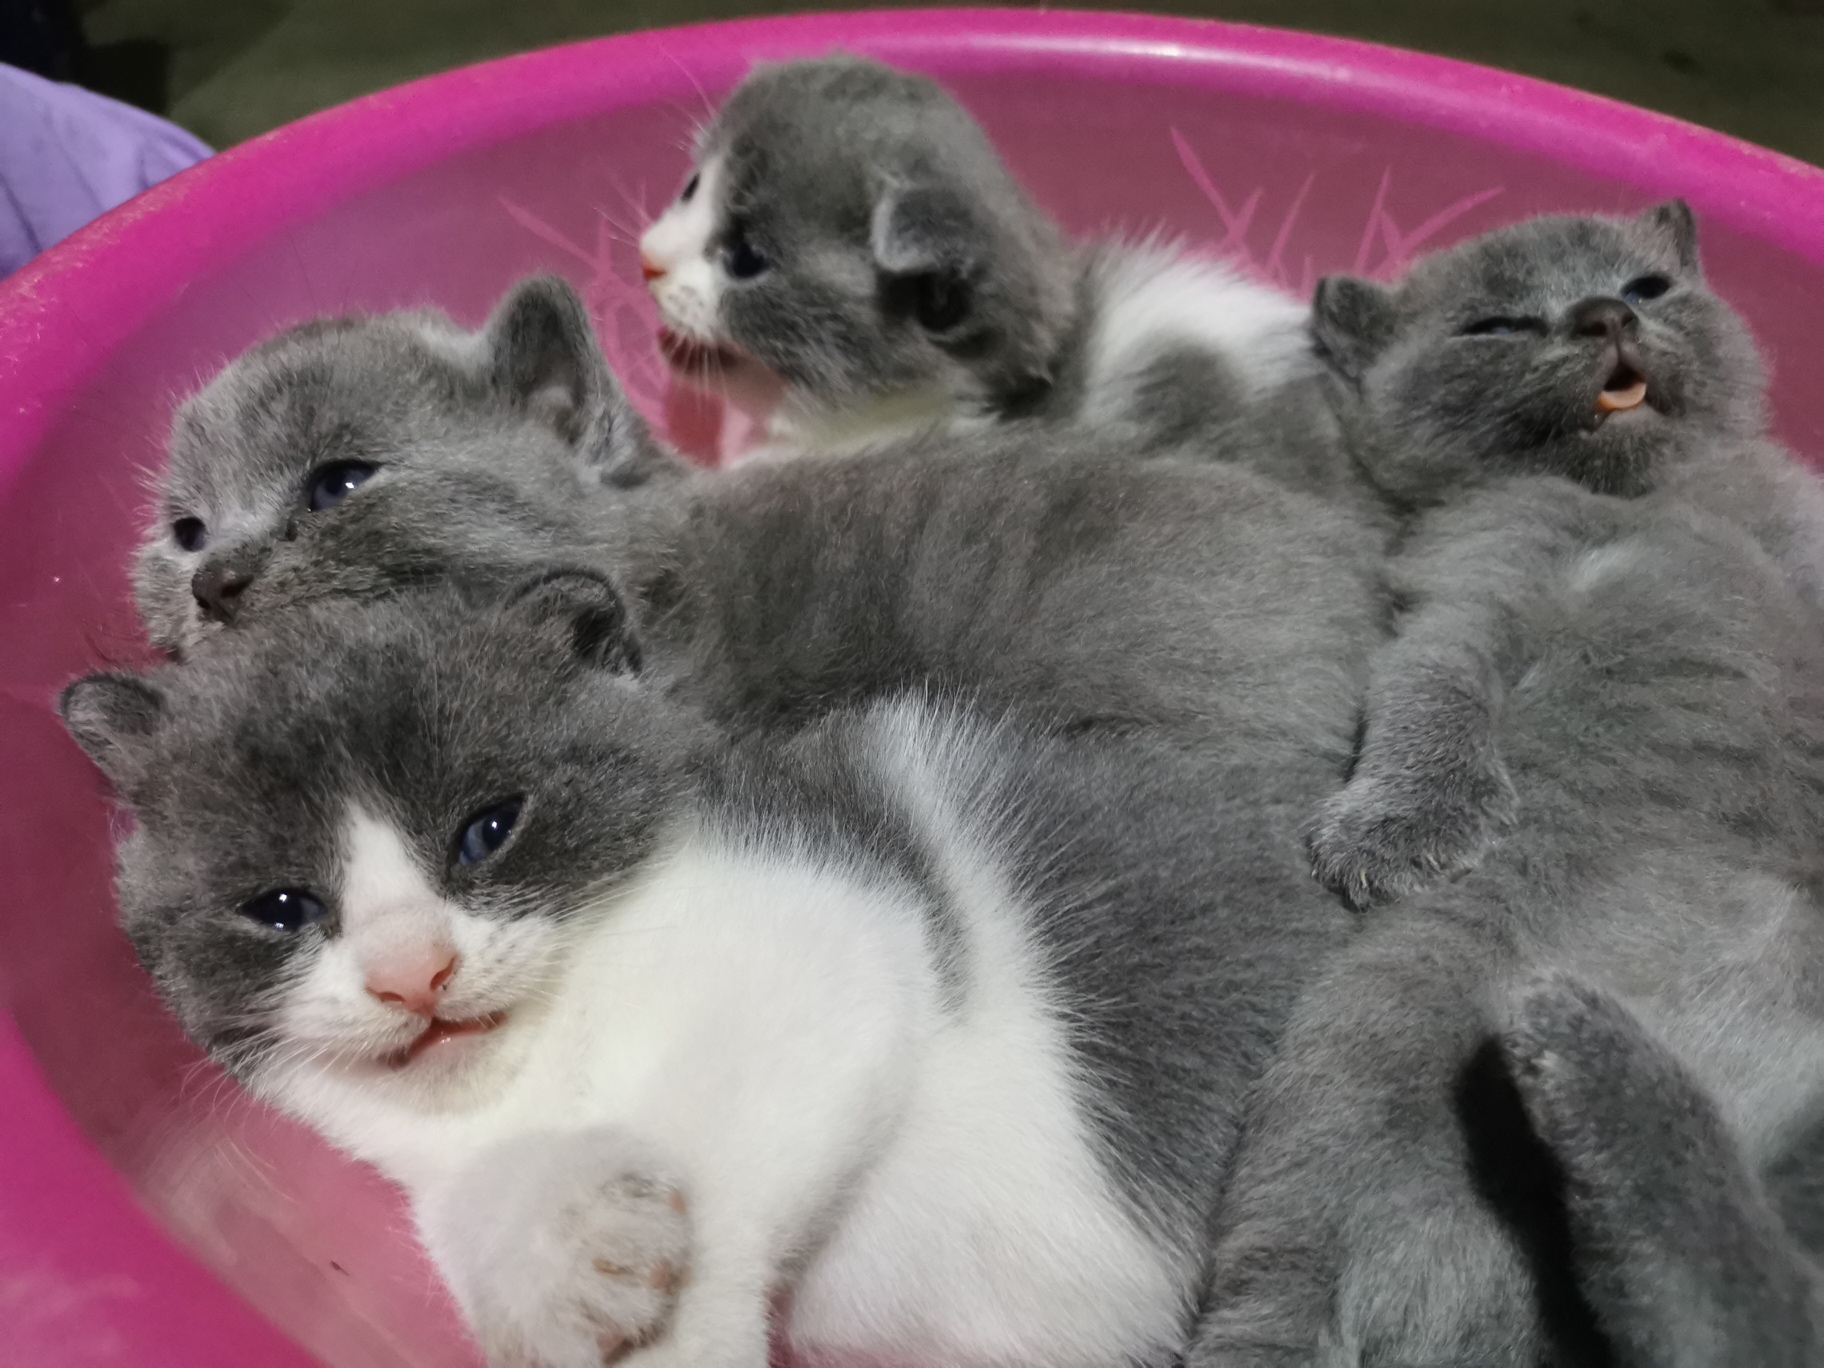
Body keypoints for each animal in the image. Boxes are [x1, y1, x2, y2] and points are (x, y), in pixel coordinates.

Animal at [61, 573, 1357, 1368]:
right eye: (281, 908)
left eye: (488, 829)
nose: (413, 973)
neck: (554, 1054)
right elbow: (475, 1206)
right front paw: (560, 1255)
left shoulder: (826, 917)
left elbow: (724, 1123)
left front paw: (669, 1326)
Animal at [1182, 203, 1824, 1367]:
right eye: (1497, 324)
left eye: (1650, 287)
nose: (1605, 313)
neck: (1643, 501)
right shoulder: (1470, 585)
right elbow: (1432, 685)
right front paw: (1400, 830)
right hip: (1376, 1044)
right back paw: (1577, 1052)